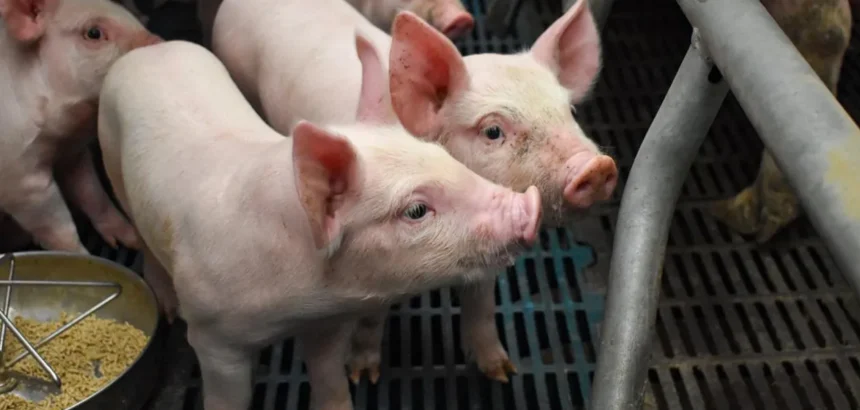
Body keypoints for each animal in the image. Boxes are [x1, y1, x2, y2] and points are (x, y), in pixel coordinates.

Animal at [0, 0, 161, 254]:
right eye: (93, 33)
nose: (161, 43)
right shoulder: (19, 179)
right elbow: (59, 229)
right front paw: (83, 257)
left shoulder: (73, 153)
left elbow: (92, 193)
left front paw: (130, 241)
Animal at [98, 38, 542, 410]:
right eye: (416, 210)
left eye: (444, 157)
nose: (531, 204)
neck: (295, 304)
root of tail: (150, 49)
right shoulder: (212, 339)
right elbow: (227, 395)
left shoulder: (327, 325)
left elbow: (330, 380)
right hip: (111, 156)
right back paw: (167, 306)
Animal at [213, 0, 615, 384]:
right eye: (493, 131)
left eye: (571, 111)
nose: (597, 167)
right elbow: (371, 319)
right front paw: (363, 375)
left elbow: (482, 306)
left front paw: (503, 371)